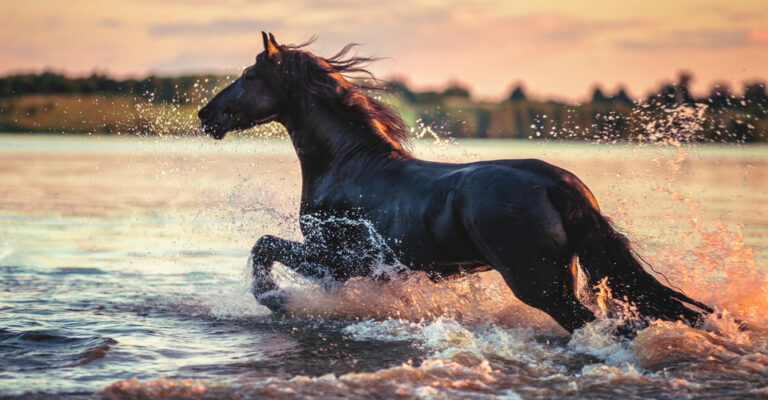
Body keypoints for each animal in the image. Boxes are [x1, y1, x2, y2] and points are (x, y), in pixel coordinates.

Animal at [197, 32, 712, 333]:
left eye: (249, 75)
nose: (205, 115)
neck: (348, 164)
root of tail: (558, 185)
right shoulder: (344, 268)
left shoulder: (337, 260)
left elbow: (263, 247)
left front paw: (277, 300)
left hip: (539, 284)